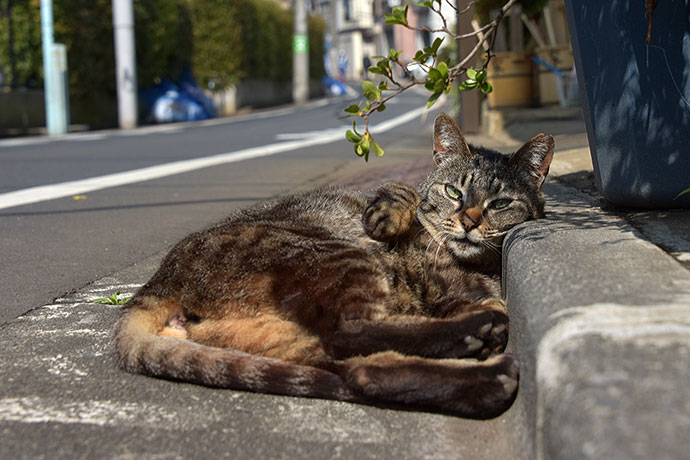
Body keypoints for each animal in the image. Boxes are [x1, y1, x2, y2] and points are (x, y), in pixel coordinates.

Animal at [114, 113, 552, 418]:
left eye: (500, 203)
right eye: (453, 192)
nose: (469, 221)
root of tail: (158, 281)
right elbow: (404, 198)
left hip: (279, 337)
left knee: (362, 370)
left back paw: (484, 381)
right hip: (340, 256)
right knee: (352, 332)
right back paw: (477, 340)